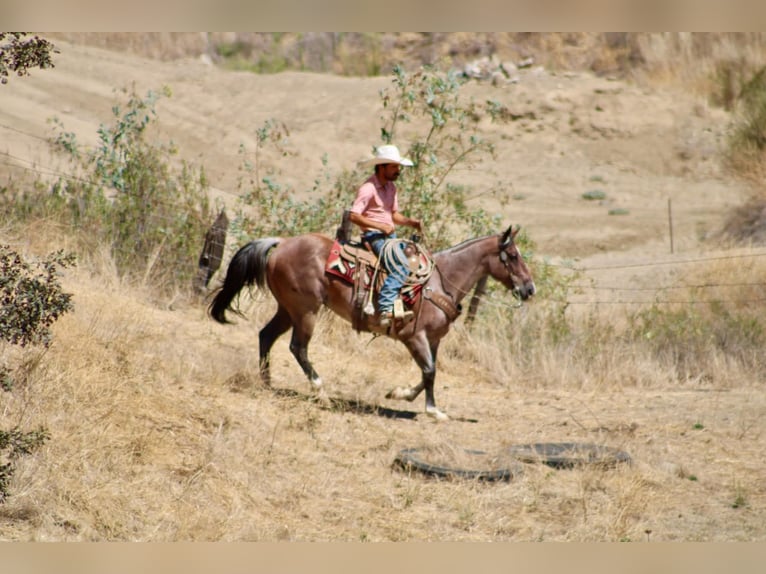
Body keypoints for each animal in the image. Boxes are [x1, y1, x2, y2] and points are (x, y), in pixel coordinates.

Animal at [208, 225, 535, 420]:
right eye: (513, 256)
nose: (529, 289)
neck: (440, 282)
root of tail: (283, 242)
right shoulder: (414, 338)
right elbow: (429, 372)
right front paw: (433, 411)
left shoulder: (433, 340)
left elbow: (428, 373)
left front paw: (401, 394)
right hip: (306, 311)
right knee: (297, 348)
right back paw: (321, 392)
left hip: (288, 310)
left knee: (266, 336)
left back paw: (267, 382)